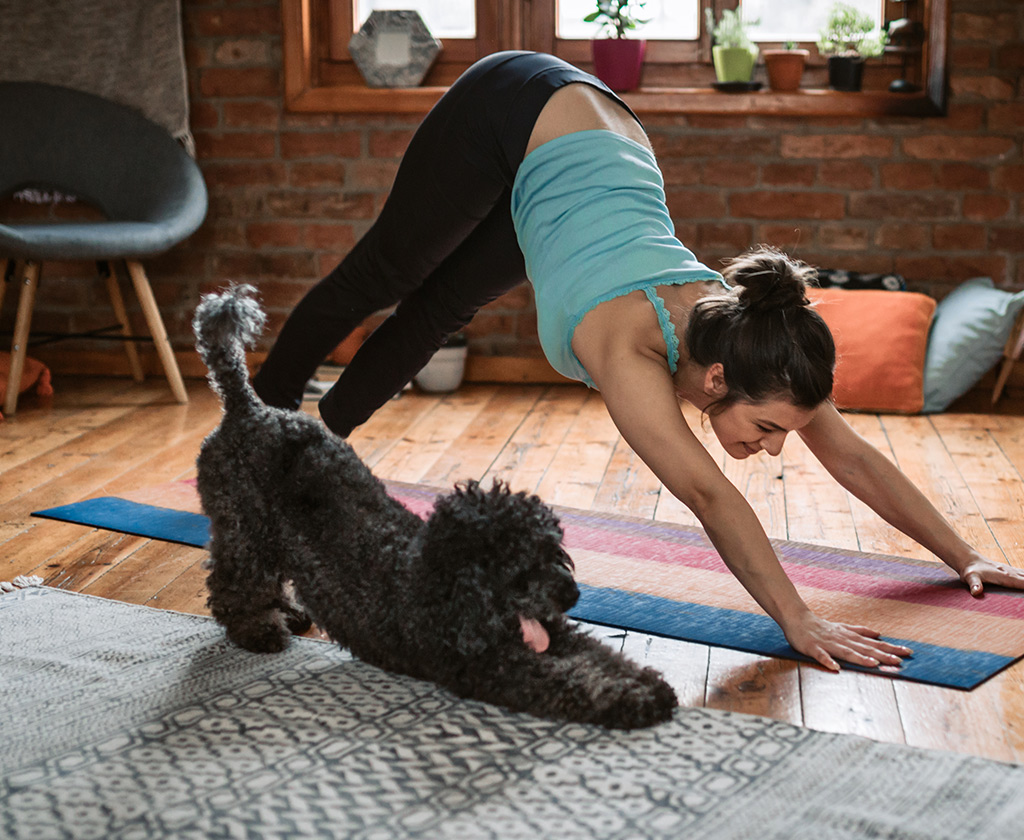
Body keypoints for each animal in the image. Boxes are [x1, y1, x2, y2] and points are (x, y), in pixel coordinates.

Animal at [192, 284, 679, 729]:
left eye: (555, 552)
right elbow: (571, 682)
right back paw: (259, 630)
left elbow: (600, 654)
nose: (572, 595)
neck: (443, 584)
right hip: (243, 529)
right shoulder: (494, 667)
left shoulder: (553, 631)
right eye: (520, 568)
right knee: (232, 586)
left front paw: (646, 681)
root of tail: (247, 408)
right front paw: (632, 700)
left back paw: (289, 613)